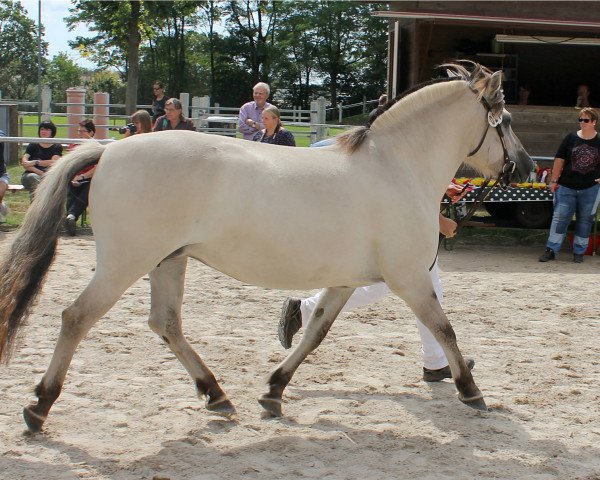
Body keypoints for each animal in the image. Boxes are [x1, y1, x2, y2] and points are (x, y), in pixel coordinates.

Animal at [0, 62, 536, 434]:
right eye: (506, 119)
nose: (528, 167)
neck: (396, 166)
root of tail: (111, 149)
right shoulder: (409, 278)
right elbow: (444, 328)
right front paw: (470, 389)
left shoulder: (345, 281)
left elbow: (315, 332)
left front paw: (274, 390)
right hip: (124, 262)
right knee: (76, 317)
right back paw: (39, 406)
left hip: (168, 261)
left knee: (166, 325)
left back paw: (216, 394)